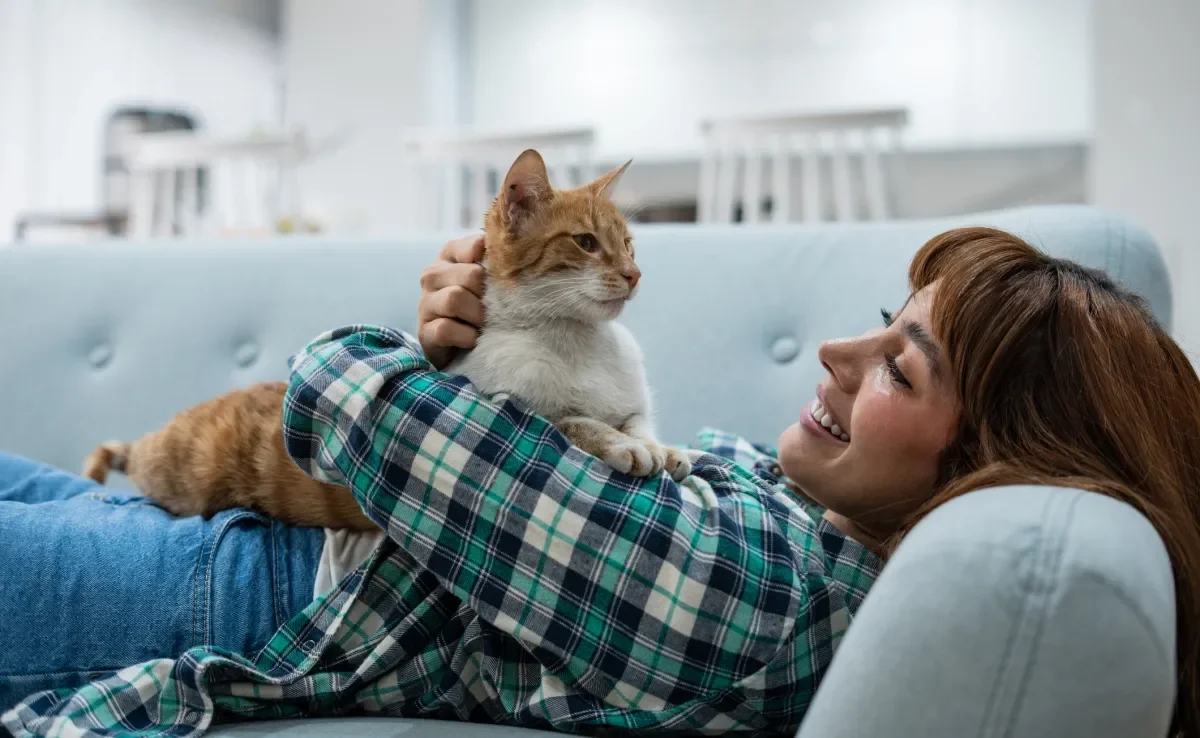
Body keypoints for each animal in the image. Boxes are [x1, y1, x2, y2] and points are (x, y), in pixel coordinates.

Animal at [77, 150, 686, 530]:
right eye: (585, 242)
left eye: (629, 244)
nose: (635, 274)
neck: (578, 342)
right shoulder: (506, 403)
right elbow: (571, 421)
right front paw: (624, 445)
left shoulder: (632, 402)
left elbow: (639, 421)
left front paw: (665, 448)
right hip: (174, 474)